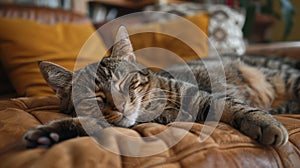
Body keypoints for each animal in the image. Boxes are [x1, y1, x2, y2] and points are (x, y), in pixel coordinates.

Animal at [22, 26, 298, 148]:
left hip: (286, 78)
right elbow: (88, 123)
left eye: (123, 82)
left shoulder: (201, 96)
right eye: (95, 96)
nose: (121, 106)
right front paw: (50, 132)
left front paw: (266, 123)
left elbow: (239, 107)